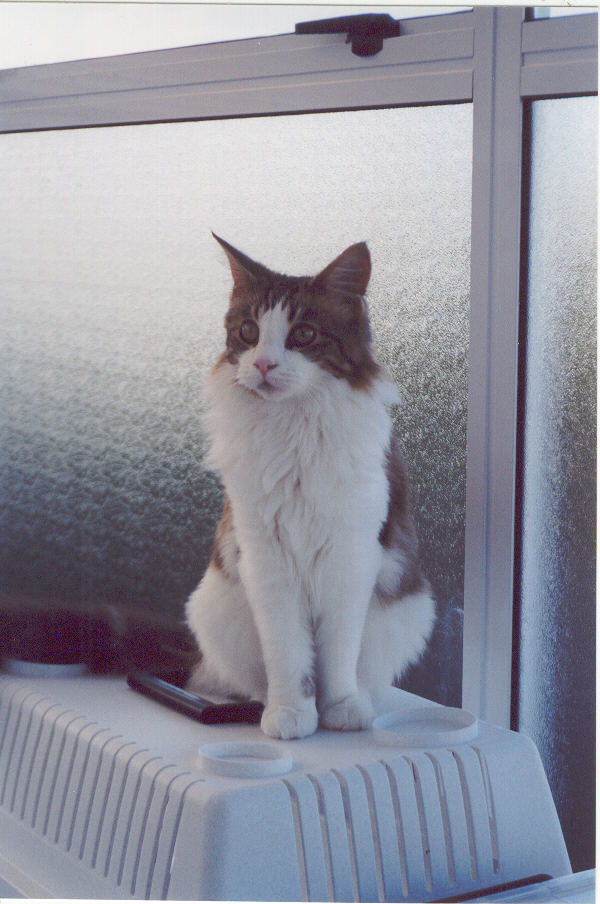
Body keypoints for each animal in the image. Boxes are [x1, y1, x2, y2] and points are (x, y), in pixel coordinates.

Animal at [186, 234, 435, 740]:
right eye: (248, 331)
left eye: (303, 335)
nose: (263, 364)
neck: (294, 429)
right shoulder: (267, 560)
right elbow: (289, 654)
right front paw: (290, 713)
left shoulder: (350, 558)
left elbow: (337, 653)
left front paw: (340, 708)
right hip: (215, 609)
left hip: (409, 613)